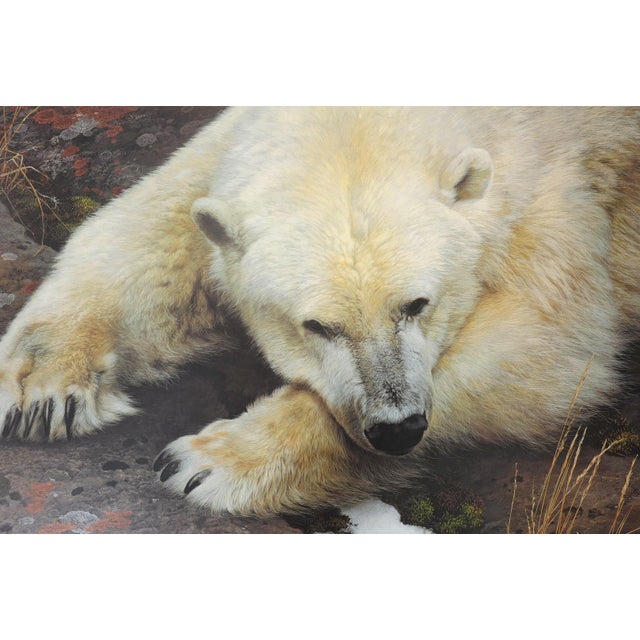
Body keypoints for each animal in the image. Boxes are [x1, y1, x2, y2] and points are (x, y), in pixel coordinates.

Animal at [1, 106, 640, 517]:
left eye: (417, 304)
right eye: (318, 326)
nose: (398, 428)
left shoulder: (557, 196)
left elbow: (550, 348)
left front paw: (206, 463)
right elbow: (161, 225)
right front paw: (42, 389)